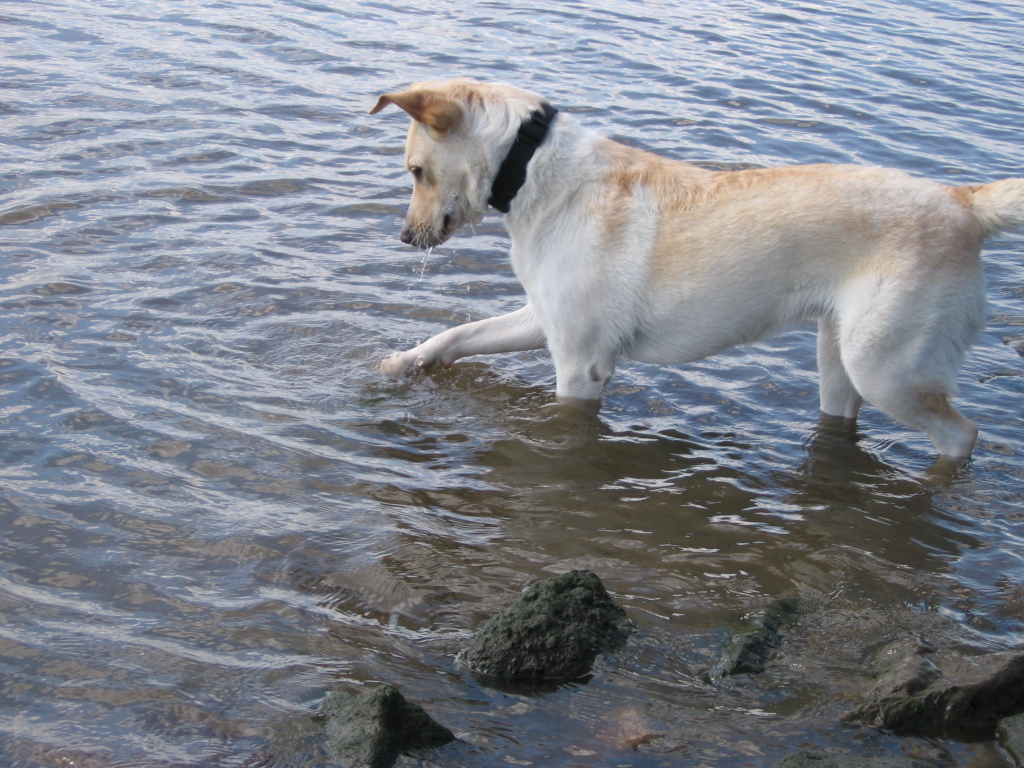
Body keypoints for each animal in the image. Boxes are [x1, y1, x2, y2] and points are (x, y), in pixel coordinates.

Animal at [368, 80, 1024, 460]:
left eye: (416, 172)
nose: (404, 237)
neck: (528, 167)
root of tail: (963, 202)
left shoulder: (580, 364)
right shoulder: (543, 319)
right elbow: (458, 334)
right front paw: (405, 361)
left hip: (883, 367)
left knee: (962, 435)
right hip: (839, 359)